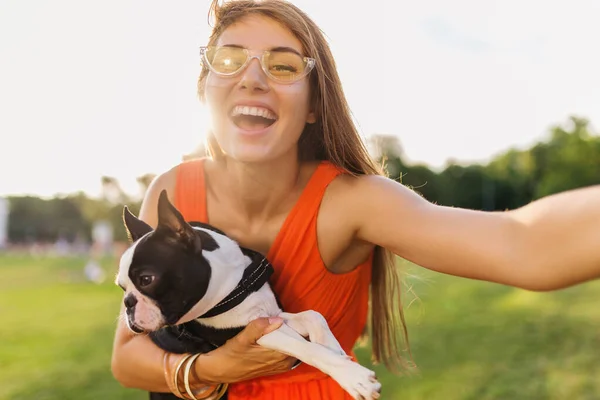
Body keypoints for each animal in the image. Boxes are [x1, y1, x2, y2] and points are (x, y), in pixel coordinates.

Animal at [116, 191, 380, 400]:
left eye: (146, 280)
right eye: (122, 287)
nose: (128, 303)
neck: (233, 285)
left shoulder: (273, 314)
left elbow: (313, 317)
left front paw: (336, 352)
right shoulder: (254, 331)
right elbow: (306, 348)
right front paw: (352, 376)